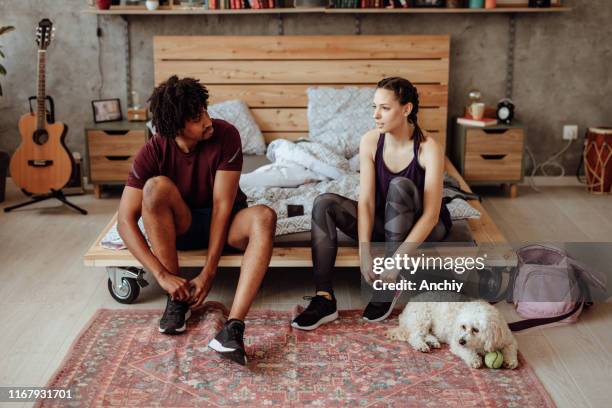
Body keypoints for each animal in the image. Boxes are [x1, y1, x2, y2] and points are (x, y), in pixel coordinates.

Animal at [388, 292, 516, 368]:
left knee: (426, 334)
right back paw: (421, 345)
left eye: (476, 330)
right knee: (414, 336)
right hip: (422, 317)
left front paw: (511, 360)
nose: (462, 341)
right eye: (463, 326)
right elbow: (467, 351)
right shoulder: (456, 343)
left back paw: (432, 341)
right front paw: (474, 359)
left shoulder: (507, 338)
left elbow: (511, 348)